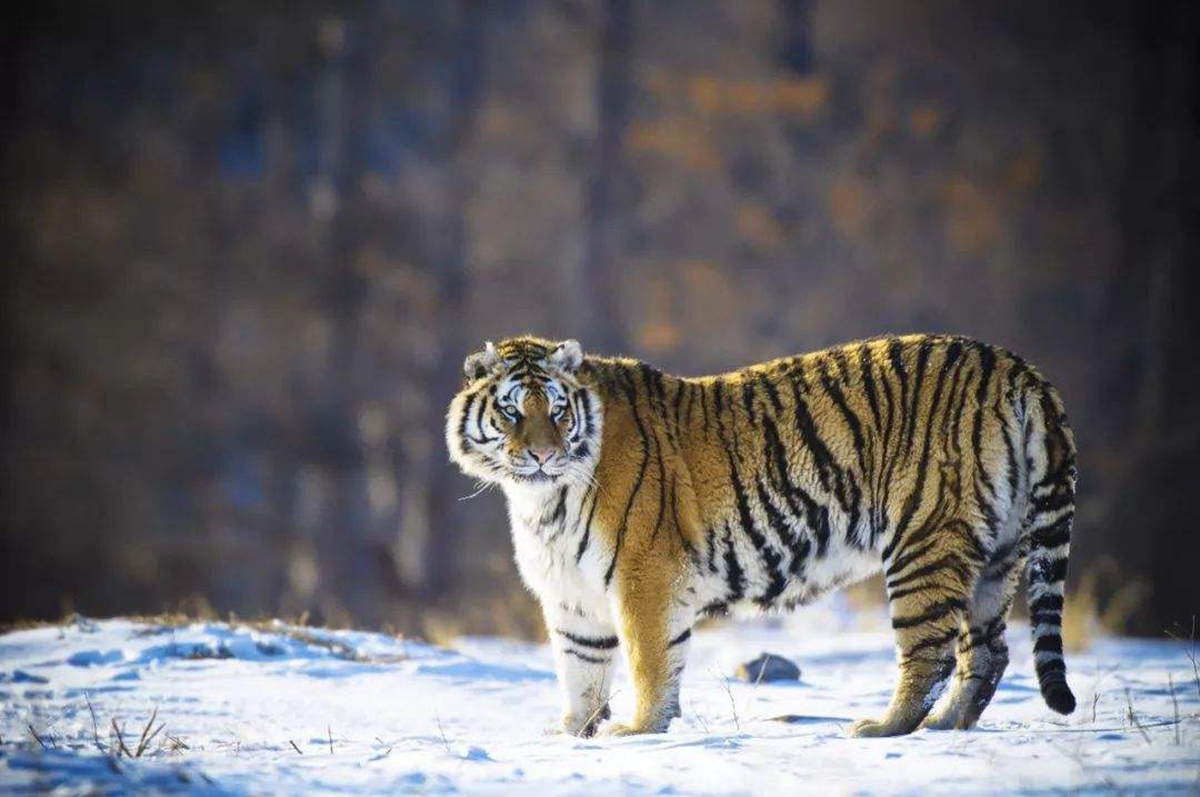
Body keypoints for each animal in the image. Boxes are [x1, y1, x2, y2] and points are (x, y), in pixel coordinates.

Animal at [444, 333, 1080, 739]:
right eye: (511, 412)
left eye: (556, 410)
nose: (542, 455)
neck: (540, 501)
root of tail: (1014, 366)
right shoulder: (572, 596)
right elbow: (580, 673)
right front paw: (573, 735)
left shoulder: (644, 574)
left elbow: (649, 661)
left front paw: (638, 730)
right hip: (998, 554)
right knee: (989, 650)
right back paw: (947, 726)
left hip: (924, 543)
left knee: (931, 652)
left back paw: (885, 728)